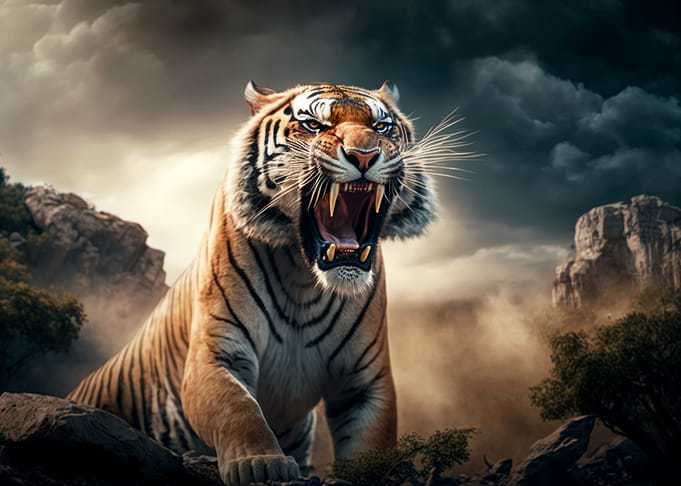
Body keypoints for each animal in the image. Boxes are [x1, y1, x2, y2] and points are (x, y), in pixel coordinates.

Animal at [68, 81, 438, 486]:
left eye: (382, 127)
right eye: (313, 125)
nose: (365, 155)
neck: (304, 276)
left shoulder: (365, 380)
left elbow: (373, 441)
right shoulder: (217, 354)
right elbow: (238, 408)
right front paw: (261, 463)